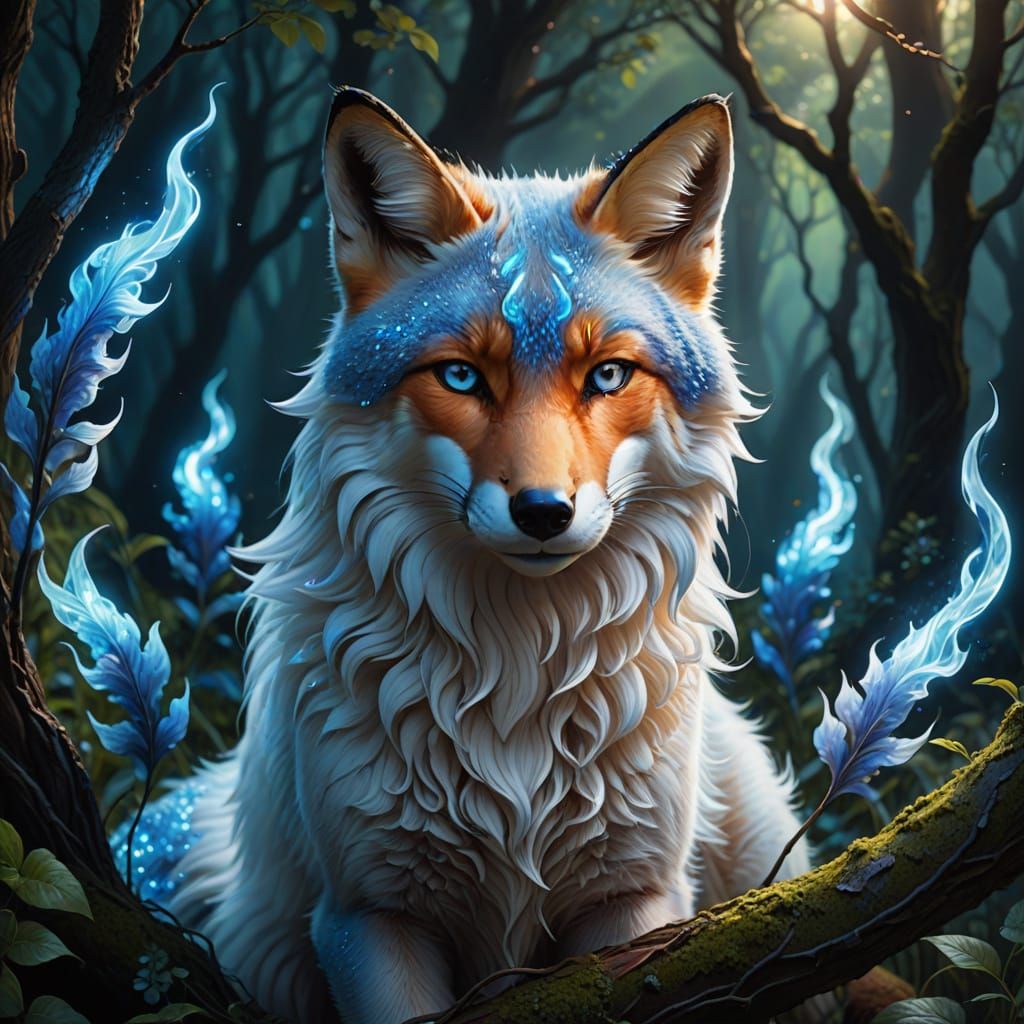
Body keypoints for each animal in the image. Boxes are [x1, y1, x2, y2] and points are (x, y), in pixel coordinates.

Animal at [167, 88, 820, 1023]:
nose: (544, 512)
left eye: (608, 376)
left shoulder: (633, 902)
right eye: (463, 377)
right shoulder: (371, 918)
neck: (519, 681)